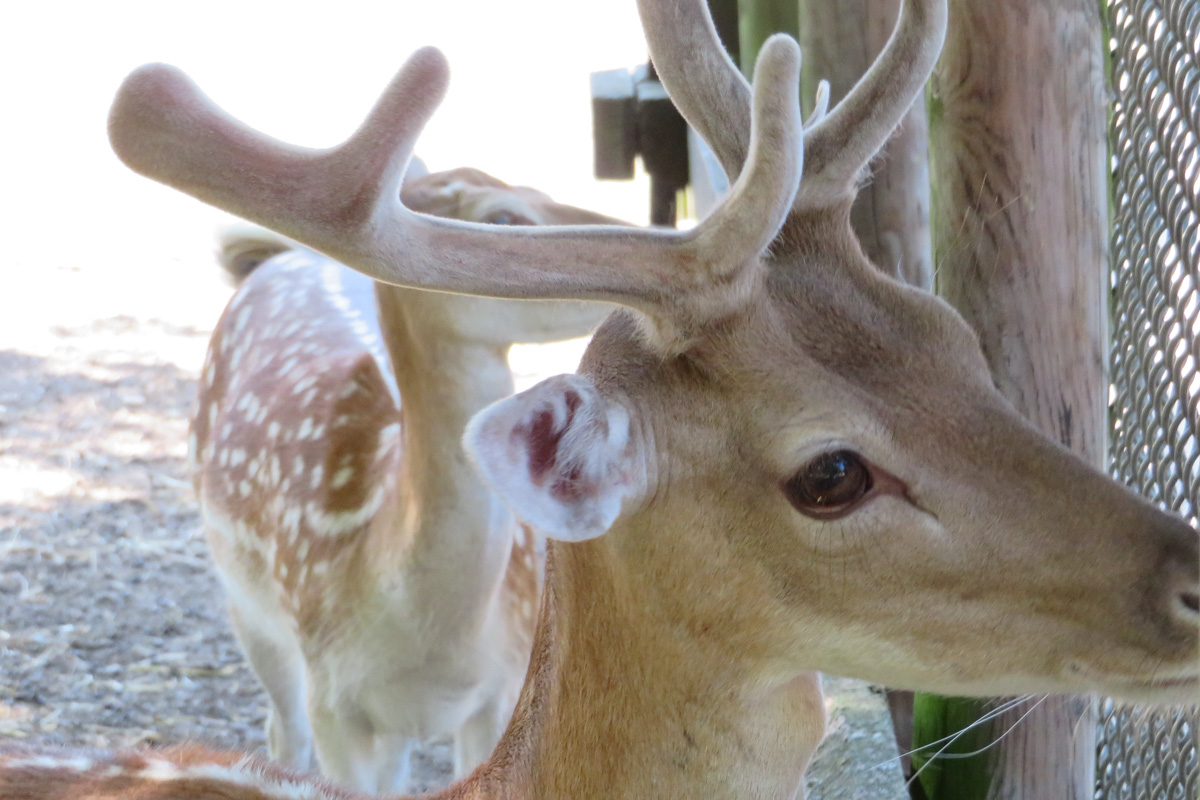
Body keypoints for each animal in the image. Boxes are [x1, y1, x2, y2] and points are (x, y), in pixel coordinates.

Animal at [190, 167, 619, 796]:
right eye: (502, 217)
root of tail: (290, 255)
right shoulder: (332, 700)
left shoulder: (501, 687)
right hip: (246, 605)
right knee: (281, 730)